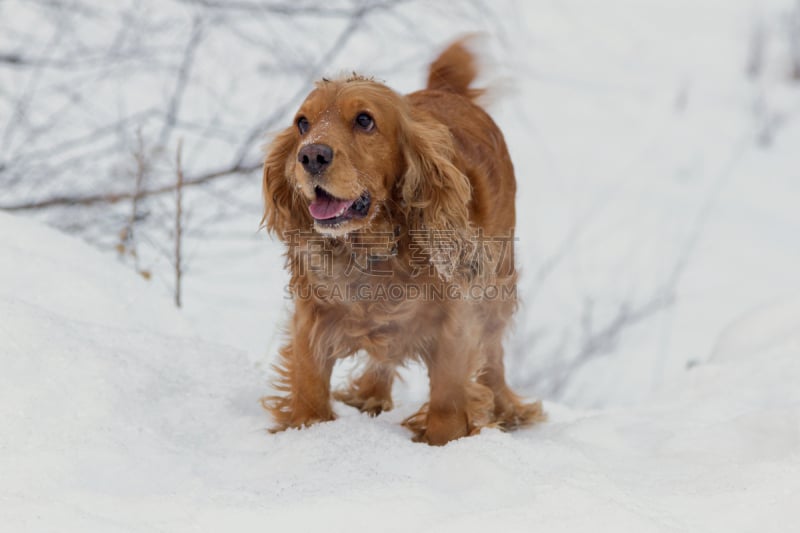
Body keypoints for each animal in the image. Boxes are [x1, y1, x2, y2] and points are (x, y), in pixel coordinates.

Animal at [262, 38, 544, 444]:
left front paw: (443, 442)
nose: (311, 154)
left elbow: (448, 400)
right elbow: (309, 388)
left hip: (497, 285)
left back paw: (508, 410)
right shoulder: (312, 316)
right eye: (302, 123)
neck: (374, 246)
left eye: (364, 120)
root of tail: (448, 91)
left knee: (493, 355)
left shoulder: (455, 319)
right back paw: (369, 397)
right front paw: (308, 431)